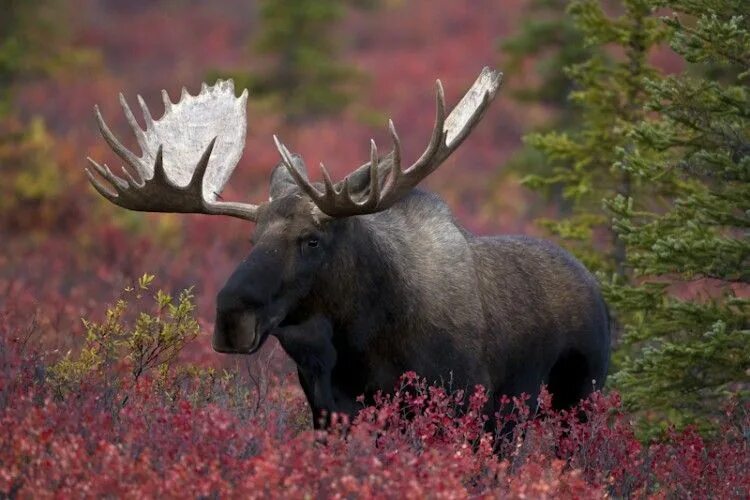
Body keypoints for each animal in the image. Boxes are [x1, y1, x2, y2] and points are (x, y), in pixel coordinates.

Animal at [86, 67, 612, 430]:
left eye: (312, 240)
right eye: (252, 239)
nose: (231, 318)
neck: (363, 337)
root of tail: (601, 295)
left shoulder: (459, 403)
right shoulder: (328, 410)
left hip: (576, 400)